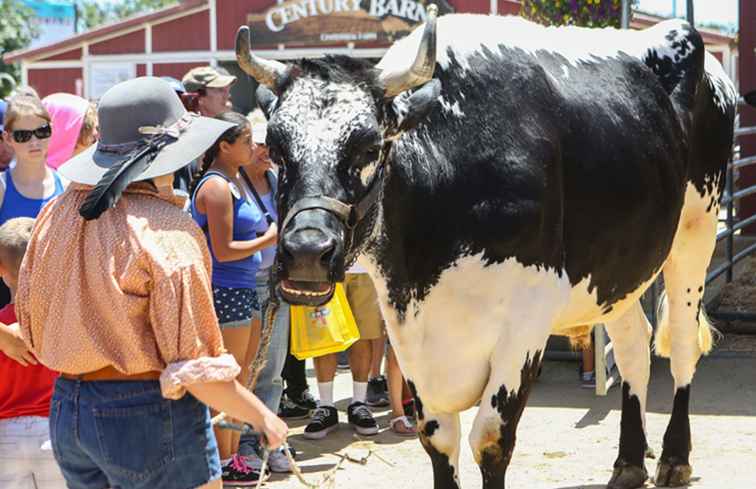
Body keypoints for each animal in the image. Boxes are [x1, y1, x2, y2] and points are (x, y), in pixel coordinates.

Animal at [235, 10, 740, 488]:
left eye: (369, 148)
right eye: (275, 150)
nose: (307, 251)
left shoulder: (527, 321)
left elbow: (491, 440)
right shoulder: (410, 333)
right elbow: (439, 439)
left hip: (696, 230)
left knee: (680, 345)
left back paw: (674, 458)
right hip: (617, 267)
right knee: (635, 346)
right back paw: (630, 462)